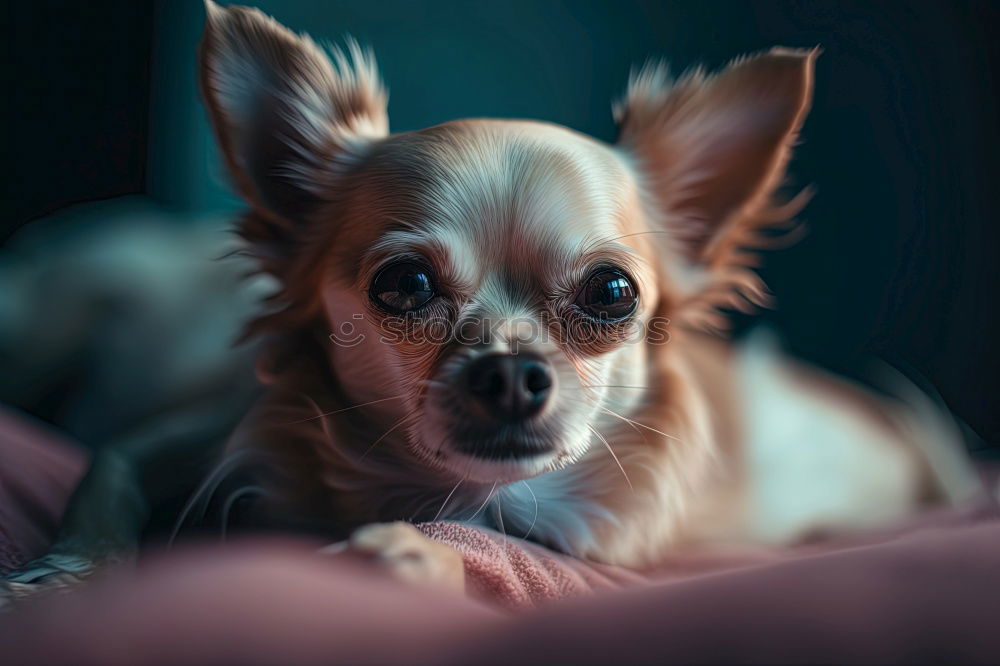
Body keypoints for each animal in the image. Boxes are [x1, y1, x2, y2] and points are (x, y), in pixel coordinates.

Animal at [1, 2, 976, 596]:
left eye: (612, 292)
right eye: (405, 285)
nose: (510, 375)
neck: (450, 492)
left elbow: (481, 554)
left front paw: (406, 553)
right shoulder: (172, 439)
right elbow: (101, 483)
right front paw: (65, 575)